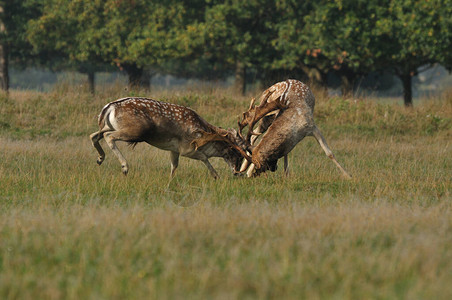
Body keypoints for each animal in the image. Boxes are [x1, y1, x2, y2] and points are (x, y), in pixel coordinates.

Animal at [88, 97, 251, 180]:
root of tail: (108, 108)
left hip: (109, 126)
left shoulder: (174, 149)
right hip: (135, 131)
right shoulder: (187, 147)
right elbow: (204, 158)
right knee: (108, 137)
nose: (237, 172)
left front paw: (170, 181)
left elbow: (174, 165)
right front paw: (216, 176)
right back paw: (124, 167)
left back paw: (100, 159)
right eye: (236, 153)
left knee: (94, 135)